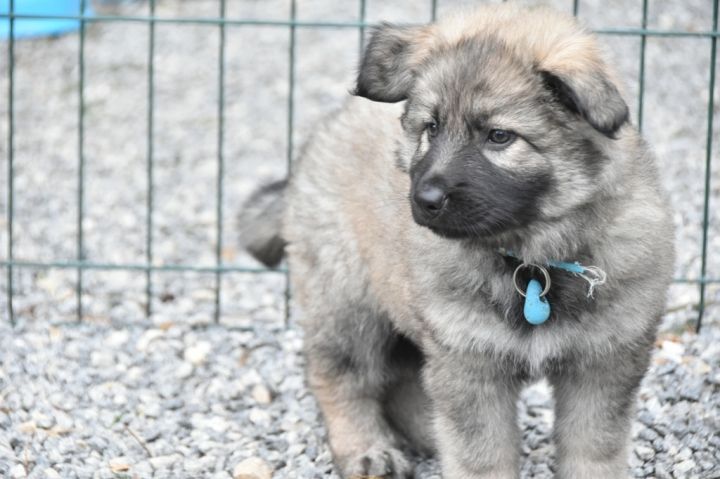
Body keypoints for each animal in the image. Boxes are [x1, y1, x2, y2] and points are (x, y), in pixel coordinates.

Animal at [238, 4, 675, 478]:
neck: (531, 260)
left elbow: (594, 448)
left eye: (499, 136)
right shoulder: (468, 364)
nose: (424, 199)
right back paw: (367, 450)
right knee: (341, 376)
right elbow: (483, 455)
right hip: (346, 300)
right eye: (431, 127)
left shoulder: (604, 366)